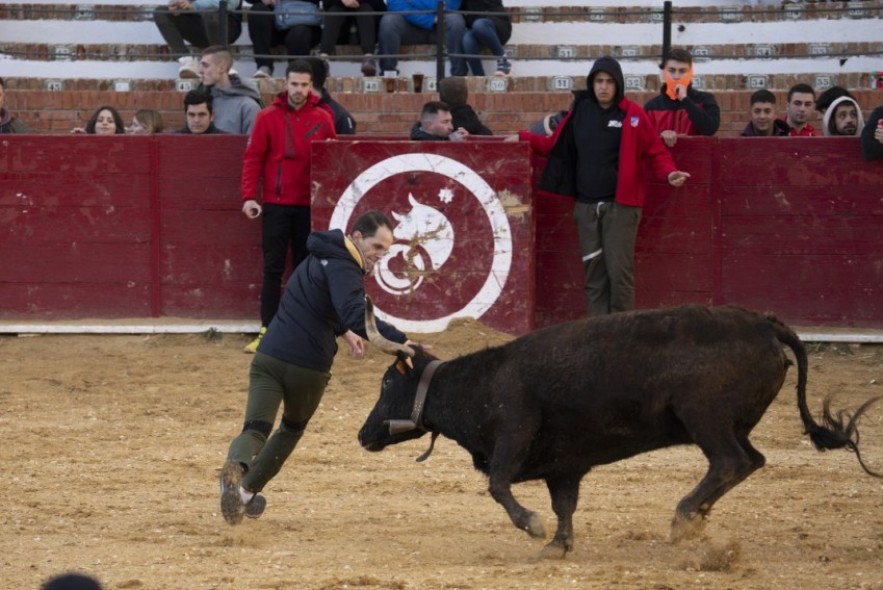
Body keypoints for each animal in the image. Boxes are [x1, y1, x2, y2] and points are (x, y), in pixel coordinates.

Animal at [356, 306, 880, 560]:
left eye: (386, 384)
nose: (363, 436)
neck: (480, 382)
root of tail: (764, 325)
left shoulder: (513, 436)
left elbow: (499, 487)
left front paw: (533, 527)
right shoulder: (564, 466)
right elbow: (564, 505)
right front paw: (558, 545)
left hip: (704, 417)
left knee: (731, 461)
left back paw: (684, 518)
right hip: (731, 422)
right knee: (749, 461)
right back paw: (697, 518)